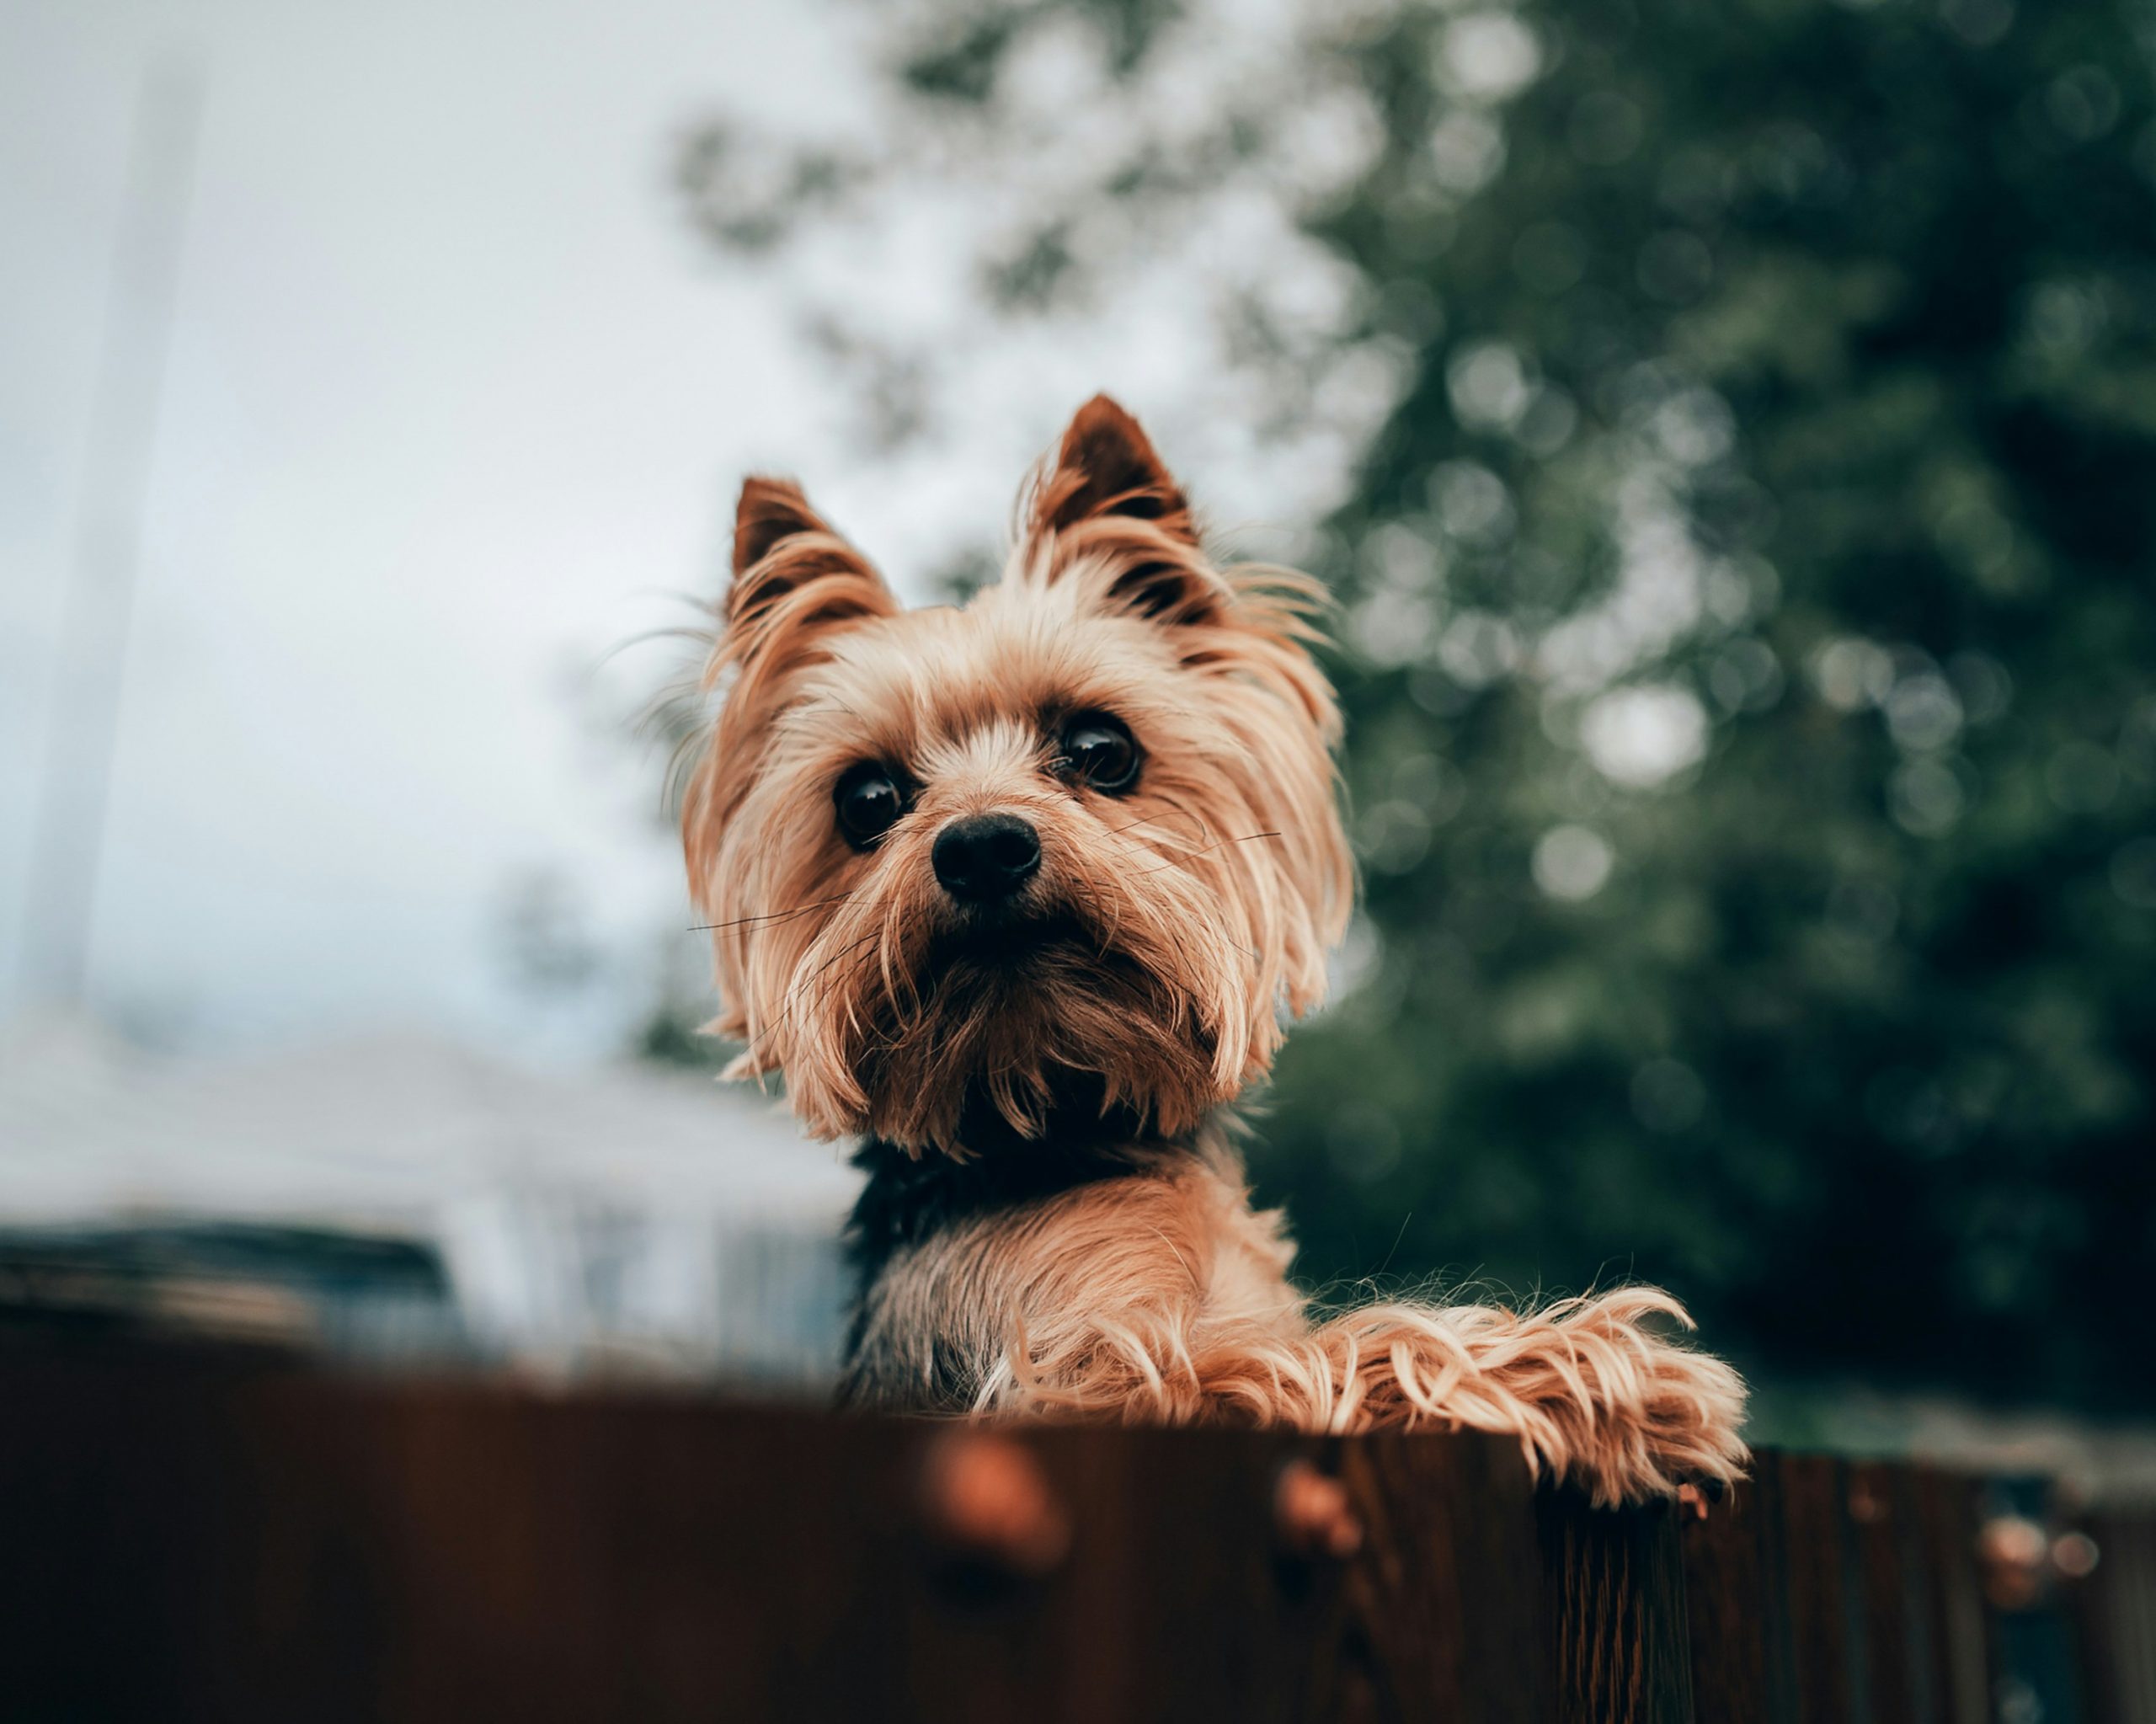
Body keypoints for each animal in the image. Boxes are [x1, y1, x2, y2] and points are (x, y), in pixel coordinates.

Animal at [690, 396, 1750, 1499]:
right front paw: (1603, 1375)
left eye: (1101, 749)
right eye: (866, 800)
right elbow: (1328, 1353)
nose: (981, 845)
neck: (1059, 1122)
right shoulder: (1087, 1378)